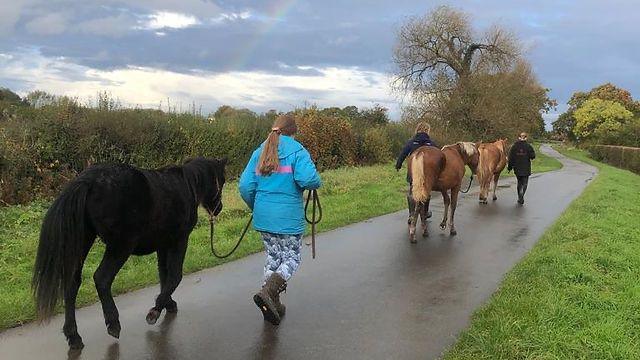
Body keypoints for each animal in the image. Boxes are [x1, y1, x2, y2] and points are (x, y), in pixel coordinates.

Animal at [32, 157, 229, 348]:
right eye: (222, 181)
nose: (219, 208)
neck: (187, 185)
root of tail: (89, 181)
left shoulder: (163, 245)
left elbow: (164, 275)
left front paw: (167, 303)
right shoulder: (179, 241)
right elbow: (175, 276)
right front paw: (155, 311)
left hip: (84, 242)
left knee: (72, 284)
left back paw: (74, 337)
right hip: (120, 247)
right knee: (102, 279)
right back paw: (113, 323)